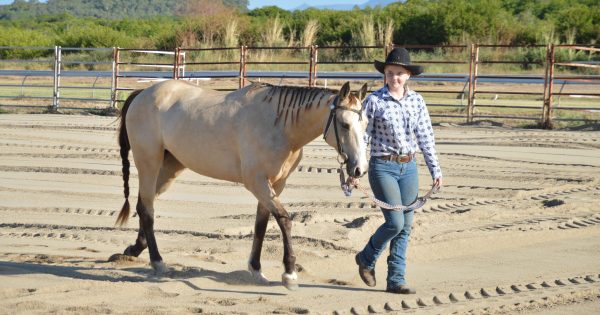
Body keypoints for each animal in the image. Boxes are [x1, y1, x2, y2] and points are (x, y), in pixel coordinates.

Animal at [114, 79, 368, 292]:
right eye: (345, 124)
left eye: (365, 124)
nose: (359, 169)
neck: (280, 126)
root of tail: (142, 93)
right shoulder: (256, 183)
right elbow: (284, 220)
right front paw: (289, 273)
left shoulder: (275, 184)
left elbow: (261, 225)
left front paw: (256, 269)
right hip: (148, 162)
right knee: (147, 208)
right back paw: (157, 261)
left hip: (170, 167)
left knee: (144, 204)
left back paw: (135, 249)